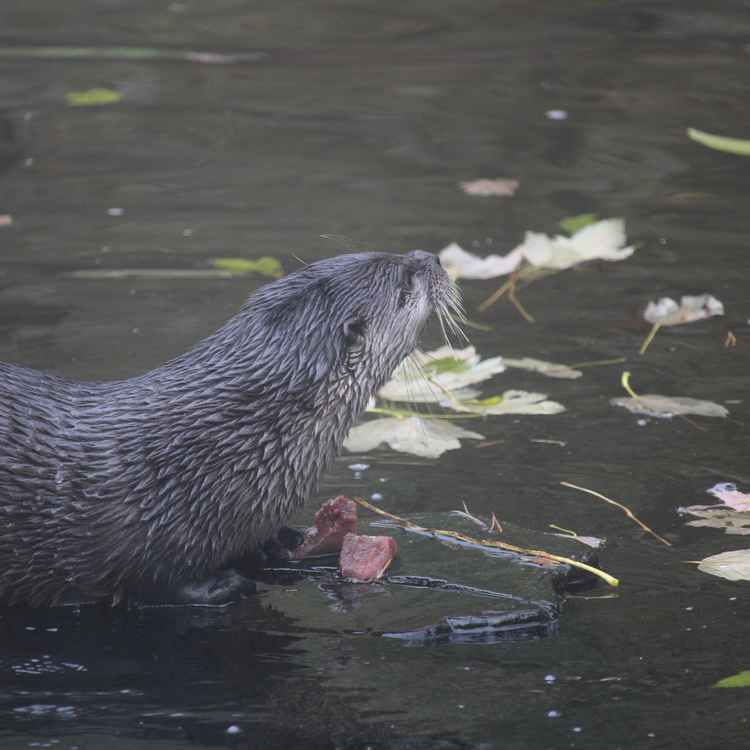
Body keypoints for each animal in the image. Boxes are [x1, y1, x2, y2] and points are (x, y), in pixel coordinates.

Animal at [0, 250, 460, 607]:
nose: (432, 258)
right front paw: (225, 584)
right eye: (406, 284)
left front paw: (287, 542)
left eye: (394, 255)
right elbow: (151, 583)